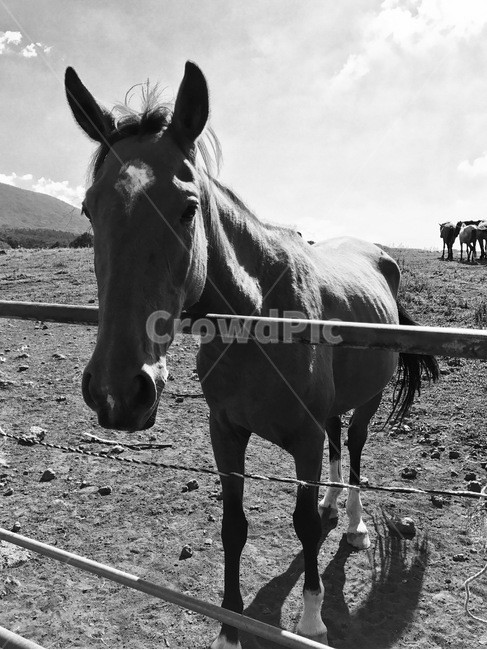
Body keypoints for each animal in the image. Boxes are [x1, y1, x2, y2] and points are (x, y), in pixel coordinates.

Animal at [65, 61, 439, 648]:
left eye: (187, 208)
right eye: (89, 207)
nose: (117, 392)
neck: (260, 313)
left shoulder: (303, 439)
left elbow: (303, 526)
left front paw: (309, 619)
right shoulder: (226, 432)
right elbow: (233, 525)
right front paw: (229, 626)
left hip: (369, 400)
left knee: (354, 452)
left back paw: (353, 522)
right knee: (338, 445)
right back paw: (333, 503)